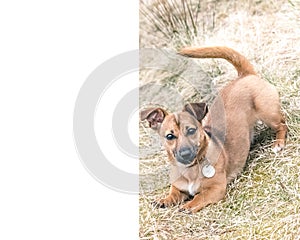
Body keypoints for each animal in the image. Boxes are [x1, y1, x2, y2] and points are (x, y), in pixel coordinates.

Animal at [140, 47, 286, 214]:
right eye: (170, 136)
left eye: (191, 130)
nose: (185, 153)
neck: (190, 170)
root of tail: (244, 75)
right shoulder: (178, 188)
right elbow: (173, 193)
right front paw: (164, 200)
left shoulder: (216, 189)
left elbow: (199, 197)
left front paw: (188, 206)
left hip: (268, 114)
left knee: (282, 125)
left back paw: (278, 143)